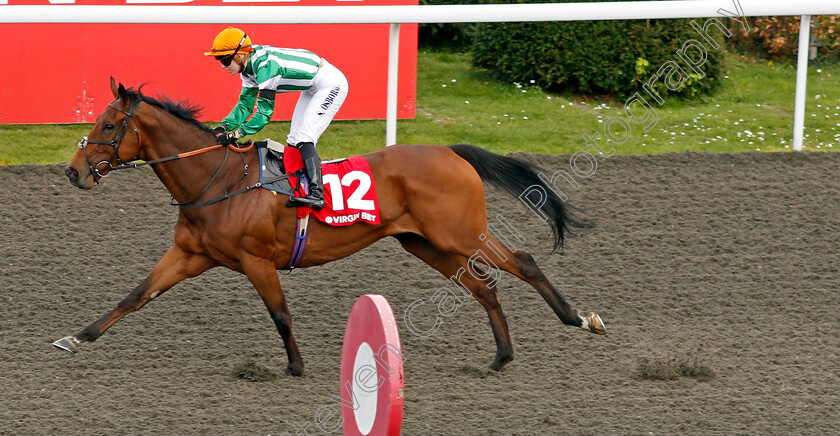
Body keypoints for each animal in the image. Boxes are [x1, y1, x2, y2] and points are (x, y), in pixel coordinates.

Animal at [55, 79, 604, 374]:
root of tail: (451, 151)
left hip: (458, 233)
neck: (219, 179)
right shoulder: (190, 255)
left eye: (109, 125)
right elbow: (135, 296)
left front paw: (294, 367)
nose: (74, 172)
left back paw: (581, 319)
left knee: (522, 263)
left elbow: (280, 315)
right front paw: (76, 338)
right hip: (423, 243)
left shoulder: (257, 260)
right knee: (483, 285)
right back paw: (501, 357)